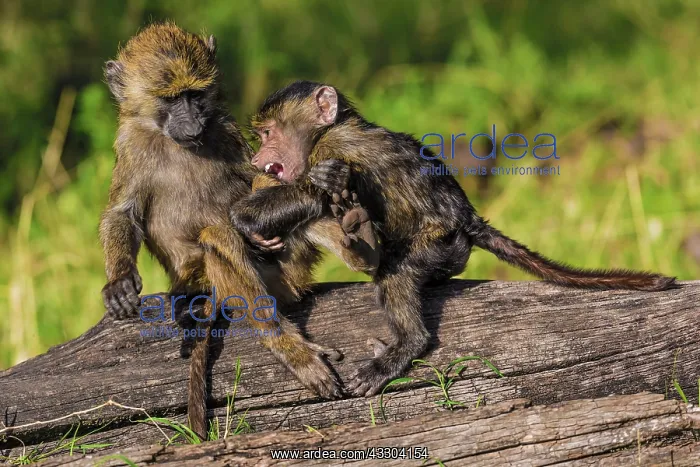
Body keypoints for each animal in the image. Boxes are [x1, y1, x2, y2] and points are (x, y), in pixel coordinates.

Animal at [99, 26, 378, 440]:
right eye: (171, 99)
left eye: (196, 95)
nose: (194, 125)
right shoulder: (129, 143)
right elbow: (122, 212)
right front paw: (118, 281)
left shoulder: (225, 126)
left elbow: (256, 179)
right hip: (206, 280)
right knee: (218, 238)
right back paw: (287, 346)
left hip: (289, 267)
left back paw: (359, 248)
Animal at [229, 80, 678, 398]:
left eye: (268, 132)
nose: (258, 160)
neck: (334, 128)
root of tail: (466, 217)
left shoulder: (334, 149)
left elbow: (310, 192)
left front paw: (242, 218)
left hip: (440, 246)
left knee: (395, 272)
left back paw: (404, 342)